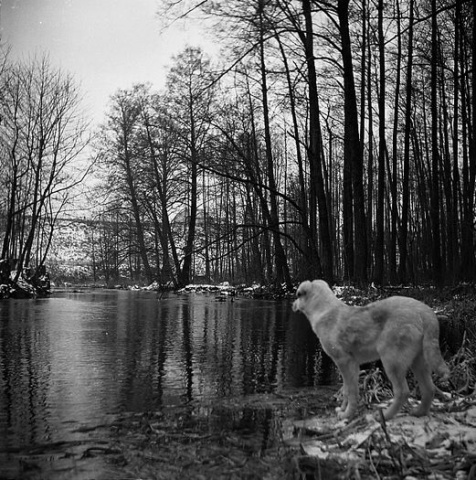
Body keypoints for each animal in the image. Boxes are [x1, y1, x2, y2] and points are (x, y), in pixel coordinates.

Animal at [292, 280, 448, 418]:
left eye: (297, 295)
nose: (292, 305)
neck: (324, 310)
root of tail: (424, 311)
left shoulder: (344, 361)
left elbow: (352, 392)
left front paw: (347, 415)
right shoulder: (352, 365)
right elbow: (346, 390)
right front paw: (342, 409)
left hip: (392, 361)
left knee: (403, 392)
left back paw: (384, 416)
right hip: (419, 360)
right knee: (429, 389)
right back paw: (418, 412)